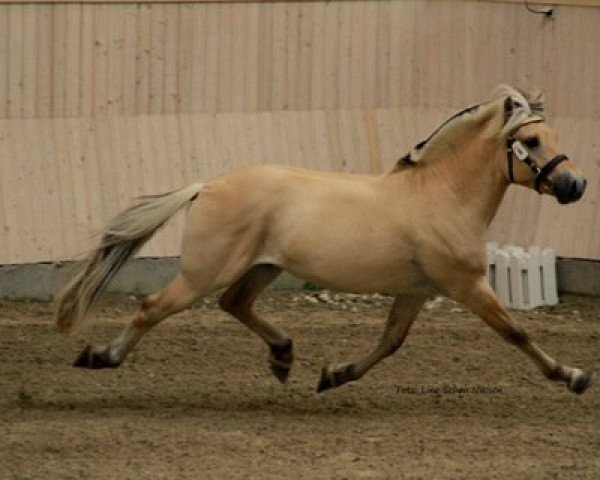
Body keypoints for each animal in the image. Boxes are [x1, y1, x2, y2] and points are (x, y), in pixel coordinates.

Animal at [54, 85, 592, 394]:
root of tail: (207, 185)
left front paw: (333, 375)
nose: (576, 185)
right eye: (533, 141)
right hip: (205, 271)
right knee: (154, 307)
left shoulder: (416, 291)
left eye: (552, 135)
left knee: (234, 304)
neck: (442, 196)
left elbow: (391, 341)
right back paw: (100, 357)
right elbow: (515, 332)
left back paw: (284, 356)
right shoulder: (467, 285)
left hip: (262, 266)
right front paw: (574, 376)